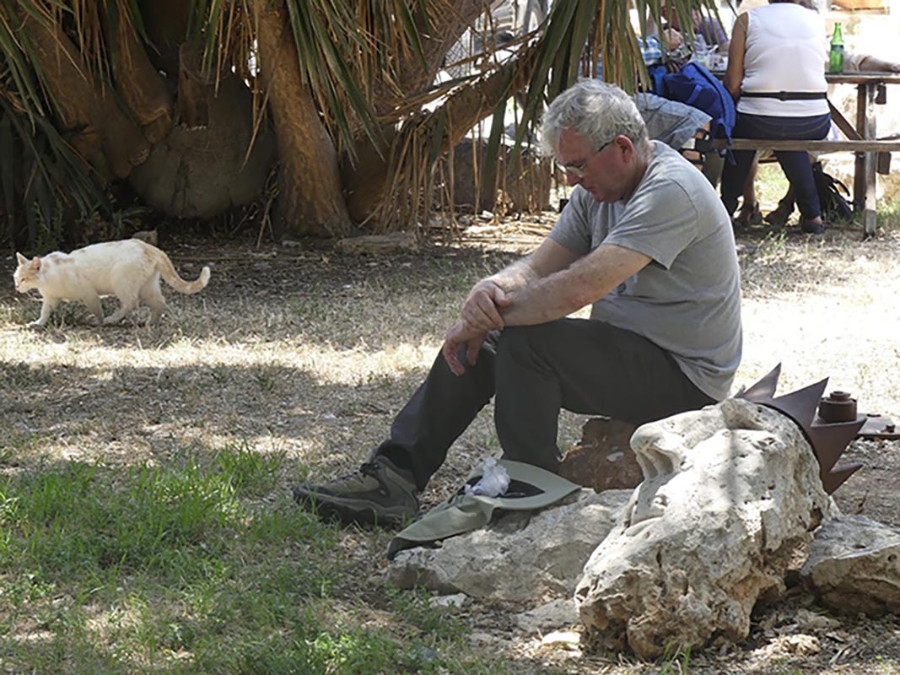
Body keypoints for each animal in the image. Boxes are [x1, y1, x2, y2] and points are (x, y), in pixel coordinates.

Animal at [13, 239, 211, 328]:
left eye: (23, 279)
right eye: (16, 278)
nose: (16, 286)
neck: (49, 275)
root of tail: (149, 246)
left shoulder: (89, 294)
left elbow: (97, 310)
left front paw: (98, 321)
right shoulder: (50, 299)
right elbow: (44, 312)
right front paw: (39, 323)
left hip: (121, 282)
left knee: (131, 304)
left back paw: (112, 319)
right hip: (147, 288)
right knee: (159, 302)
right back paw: (151, 323)